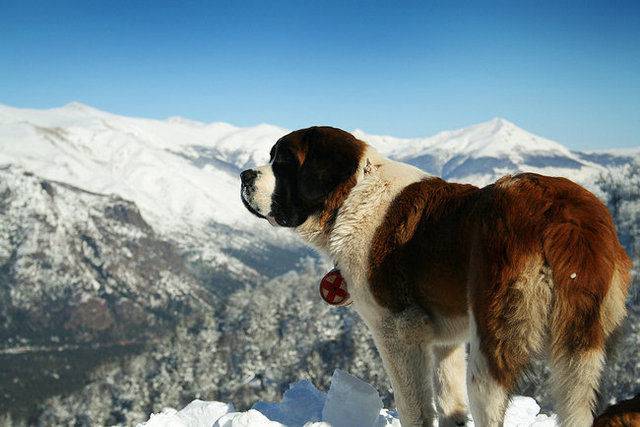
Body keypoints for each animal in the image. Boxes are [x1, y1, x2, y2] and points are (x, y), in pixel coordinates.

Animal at [241, 127, 636, 427]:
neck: (352, 196)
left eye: (284, 161)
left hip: (492, 341)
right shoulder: (447, 338)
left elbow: (414, 407)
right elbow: (449, 401)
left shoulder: (398, 331)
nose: (244, 175)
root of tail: (563, 211)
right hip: (589, 346)